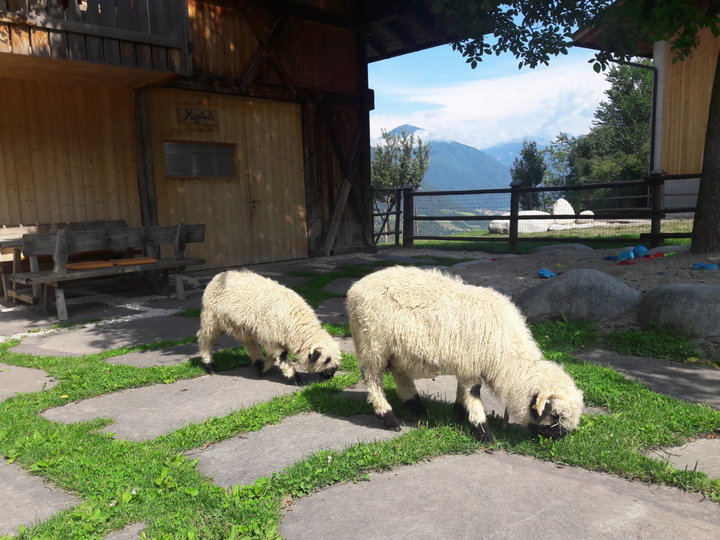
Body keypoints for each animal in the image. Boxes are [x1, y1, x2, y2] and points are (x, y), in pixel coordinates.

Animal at [197, 269, 341, 384]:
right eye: (326, 360)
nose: (330, 376)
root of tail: (218, 276)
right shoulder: (271, 337)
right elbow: (281, 357)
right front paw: (294, 378)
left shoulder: (274, 338)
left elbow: (274, 355)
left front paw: (264, 368)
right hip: (211, 318)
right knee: (204, 338)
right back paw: (209, 364)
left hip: (245, 327)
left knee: (250, 343)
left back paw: (258, 362)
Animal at [345, 266, 584, 441]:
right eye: (555, 414)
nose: (559, 438)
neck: (507, 355)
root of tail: (355, 288)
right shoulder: (471, 365)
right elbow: (473, 394)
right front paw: (483, 431)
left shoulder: (467, 363)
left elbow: (462, 391)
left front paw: (459, 415)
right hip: (372, 343)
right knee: (373, 379)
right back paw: (389, 418)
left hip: (397, 349)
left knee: (400, 375)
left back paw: (417, 408)